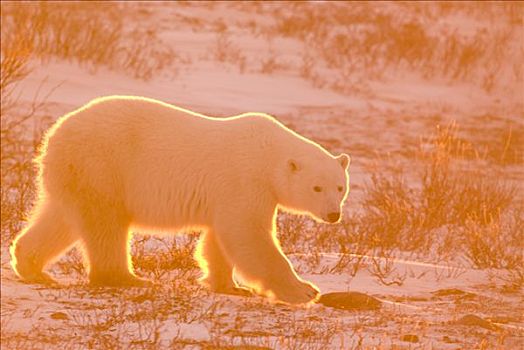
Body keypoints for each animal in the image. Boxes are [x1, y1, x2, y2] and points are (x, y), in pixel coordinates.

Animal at [8, 95, 350, 304]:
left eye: (340, 187)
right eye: (317, 188)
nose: (334, 215)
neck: (269, 155)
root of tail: (54, 136)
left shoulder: (228, 194)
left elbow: (218, 239)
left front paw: (229, 285)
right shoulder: (246, 181)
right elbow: (249, 235)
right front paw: (303, 291)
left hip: (76, 174)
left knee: (60, 218)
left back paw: (33, 267)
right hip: (102, 165)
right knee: (106, 224)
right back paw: (129, 278)